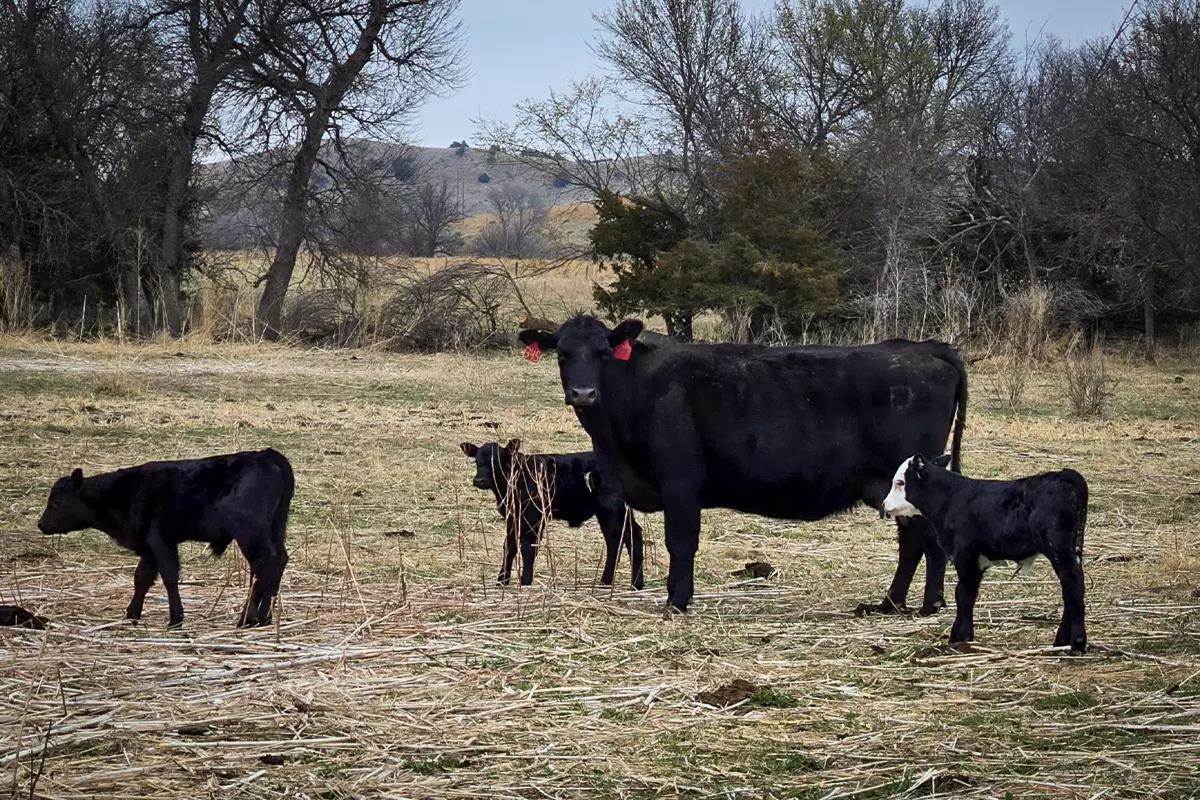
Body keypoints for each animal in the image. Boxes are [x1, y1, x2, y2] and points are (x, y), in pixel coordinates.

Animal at [37, 449, 294, 629]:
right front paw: (132, 615)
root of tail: (267, 455)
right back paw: (263, 617)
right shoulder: (150, 547)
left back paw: (249, 618)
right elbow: (141, 578)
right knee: (276, 563)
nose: (41, 524)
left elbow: (169, 577)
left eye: (57, 502)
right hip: (274, 529)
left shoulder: (161, 541)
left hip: (250, 534)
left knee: (264, 565)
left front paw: (176, 619)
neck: (123, 492)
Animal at [460, 439, 644, 589]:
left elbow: (527, 547)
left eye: (498, 462)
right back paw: (621, 583)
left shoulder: (533, 517)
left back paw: (625, 583)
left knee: (622, 538)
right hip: (612, 513)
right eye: (476, 461)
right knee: (625, 538)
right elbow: (509, 547)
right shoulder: (513, 518)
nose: (479, 481)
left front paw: (525, 581)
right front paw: (501, 581)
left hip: (612, 510)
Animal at [518, 315, 967, 615]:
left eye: (603, 353)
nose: (583, 393)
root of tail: (923, 346)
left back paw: (927, 604)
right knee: (914, 541)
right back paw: (891, 603)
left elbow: (681, 543)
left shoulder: (680, 483)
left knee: (924, 539)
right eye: (562, 354)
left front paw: (676, 602)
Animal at [883, 454, 1089, 652]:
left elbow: (964, 594)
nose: (884, 505)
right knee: (1070, 588)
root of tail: (1065, 474)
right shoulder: (977, 561)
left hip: (1058, 549)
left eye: (900, 482)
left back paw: (1077, 642)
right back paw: (1062, 641)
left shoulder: (965, 555)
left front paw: (964, 637)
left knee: (1073, 585)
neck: (951, 498)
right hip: (1073, 549)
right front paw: (957, 636)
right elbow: (965, 593)